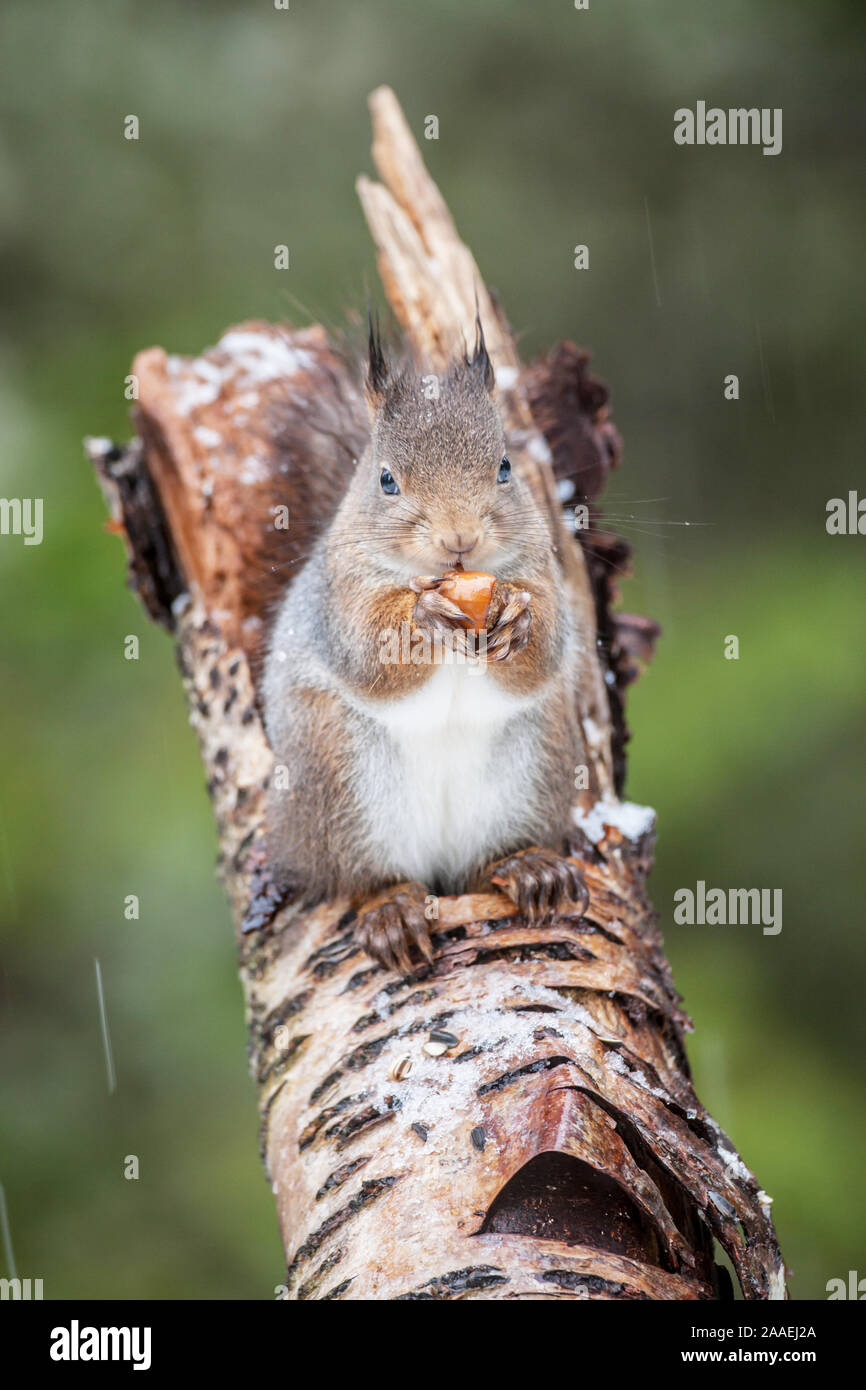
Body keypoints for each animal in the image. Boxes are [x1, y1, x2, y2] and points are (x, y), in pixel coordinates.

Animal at [264, 325, 589, 973]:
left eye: (505, 467)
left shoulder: (543, 572)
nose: (459, 539)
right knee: (360, 879)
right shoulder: (340, 599)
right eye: (386, 480)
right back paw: (390, 908)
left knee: (488, 862)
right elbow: (369, 654)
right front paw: (422, 617)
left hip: (531, 774)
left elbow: (544, 649)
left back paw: (527, 867)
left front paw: (519, 618)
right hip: (340, 788)